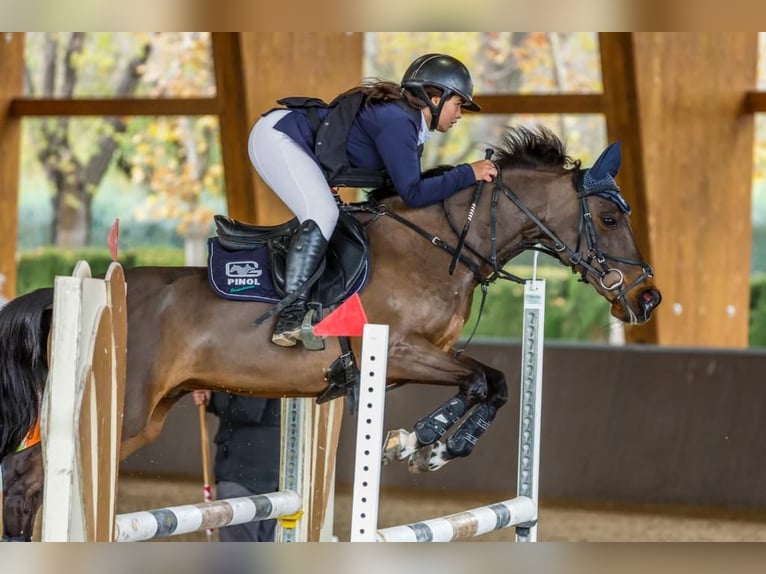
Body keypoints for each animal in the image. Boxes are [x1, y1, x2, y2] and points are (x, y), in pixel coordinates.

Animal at [0, 125, 664, 540]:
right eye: (609, 218)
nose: (647, 298)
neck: (435, 246)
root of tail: (82, 290)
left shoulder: (421, 358)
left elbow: (488, 385)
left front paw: (424, 444)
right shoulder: (399, 351)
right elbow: (487, 380)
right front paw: (425, 443)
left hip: (149, 416)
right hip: (123, 410)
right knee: (27, 474)